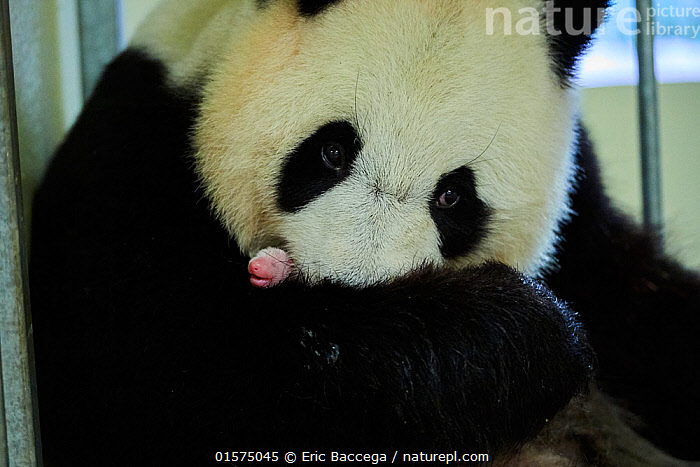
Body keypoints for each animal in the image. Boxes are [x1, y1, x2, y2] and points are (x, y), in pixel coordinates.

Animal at [28, 0, 700, 466]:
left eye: (454, 197)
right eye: (332, 151)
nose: (347, 290)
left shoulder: (584, 226)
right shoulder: (130, 174)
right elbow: (181, 389)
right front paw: (530, 333)